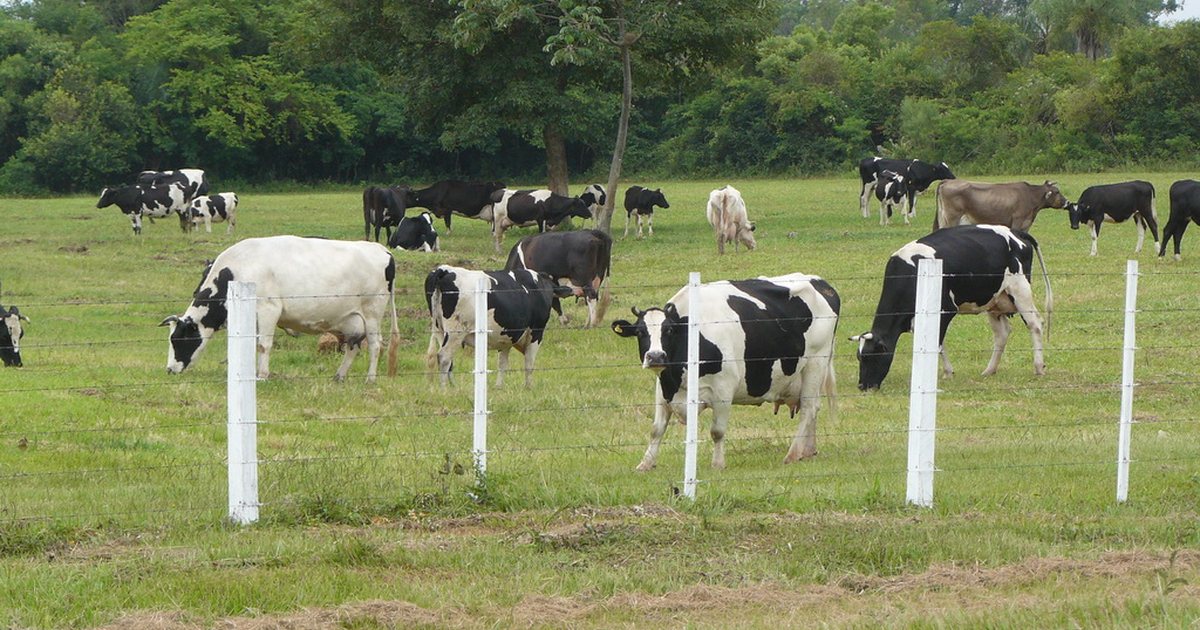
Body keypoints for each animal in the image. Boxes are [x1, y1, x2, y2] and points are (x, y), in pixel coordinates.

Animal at [160, 236, 400, 382]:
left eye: (178, 340)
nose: (170, 369)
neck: (238, 269)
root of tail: (381, 249)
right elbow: (253, 345)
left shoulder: (269, 309)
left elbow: (263, 345)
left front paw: (262, 375)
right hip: (351, 320)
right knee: (353, 347)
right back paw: (339, 376)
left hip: (372, 313)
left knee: (375, 345)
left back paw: (370, 379)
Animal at [424, 265, 573, 387]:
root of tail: (444, 270)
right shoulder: (536, 332)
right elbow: (529, 362)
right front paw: (529, 386)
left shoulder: (506, 335)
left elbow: (502, 363)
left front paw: (499, 386)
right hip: (456, 331)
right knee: (444, 357)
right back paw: (444, 389)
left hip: (439, 329)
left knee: (448, 360)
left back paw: (454, 387)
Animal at [611, 274, 840, 470]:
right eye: (640, 332)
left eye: (668, 330)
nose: (656, 356)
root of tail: (821, 283)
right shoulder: (663, 389)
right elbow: (656, 430)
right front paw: (645, 464)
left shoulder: (723, 389)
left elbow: (717, 431)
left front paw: (718, 464)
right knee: (812, 408)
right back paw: (807, 451)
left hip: (816, 362)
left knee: (809, 408)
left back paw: (792, 454)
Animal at [851, 225, 1051, 392]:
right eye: (859, 357)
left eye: (871, 356)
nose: (862, 386)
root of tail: (1015, 232)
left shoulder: (945, 309)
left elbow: (937, 344)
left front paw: (941, 373)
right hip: (995, 299)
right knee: (1002, 333)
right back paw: (989, 370)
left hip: (1020, 289)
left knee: (1035, 324)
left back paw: (1038, 367)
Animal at [934, 180, 1068, 232]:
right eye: (1057, 192)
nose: (1067, 202)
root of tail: (948, 181)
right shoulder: (1018, 221)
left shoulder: (1026, 225)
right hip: (951, 217)